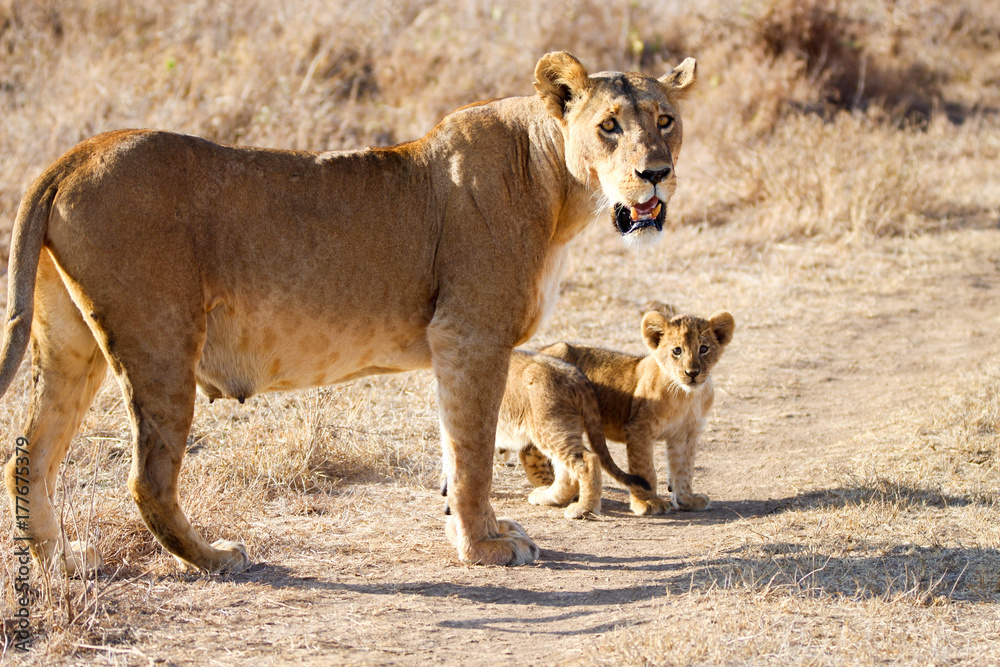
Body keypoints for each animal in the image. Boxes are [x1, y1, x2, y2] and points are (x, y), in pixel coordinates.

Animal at [1, 51, 697, 574]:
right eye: (610, 126)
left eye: (666, 120)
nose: (657, 173)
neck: (559, 188)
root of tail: (76, 153)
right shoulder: (470, 334)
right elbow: (472, 452)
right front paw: (486, 548)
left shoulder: (454, 345)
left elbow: (454, 449)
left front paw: (481, 531)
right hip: (162, 341)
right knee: (148, 479)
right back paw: (217, 558)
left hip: (71, 346)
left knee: (29, 457)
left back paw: (64, 563)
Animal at [530, 305, 735, 515]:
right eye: (677, 351)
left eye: (704, 349)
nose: (692, 373)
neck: (686, 396)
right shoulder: (638, 430)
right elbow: (644, 469)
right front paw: (647, 502)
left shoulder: (686, 434)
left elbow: (683, 469)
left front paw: (686, 500)